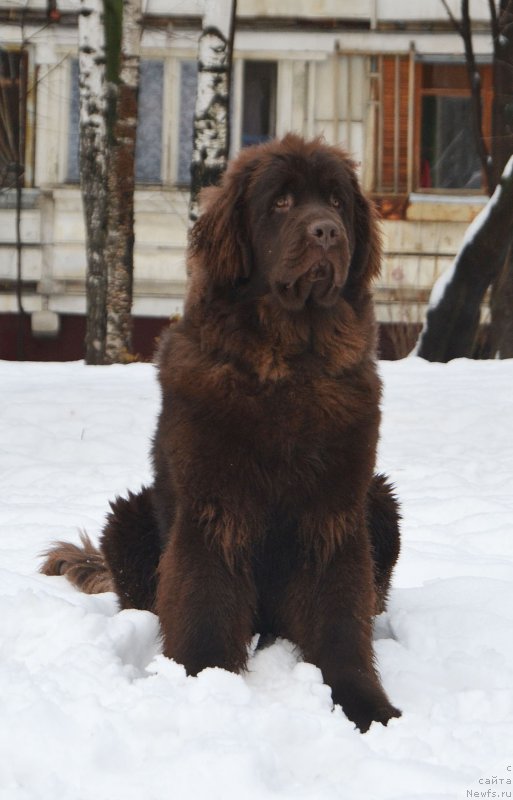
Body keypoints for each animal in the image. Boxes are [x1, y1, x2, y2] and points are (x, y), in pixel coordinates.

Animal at [43, 136, 400, 732]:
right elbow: (206, 607)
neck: (290, 365)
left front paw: (368, 707)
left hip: (382, 502)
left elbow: (342, 623)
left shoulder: (335, 514)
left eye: (335, 201)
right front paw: (202, 687)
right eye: (281, 203)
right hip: (128, 518)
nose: (327, 232)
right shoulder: (215, 510)